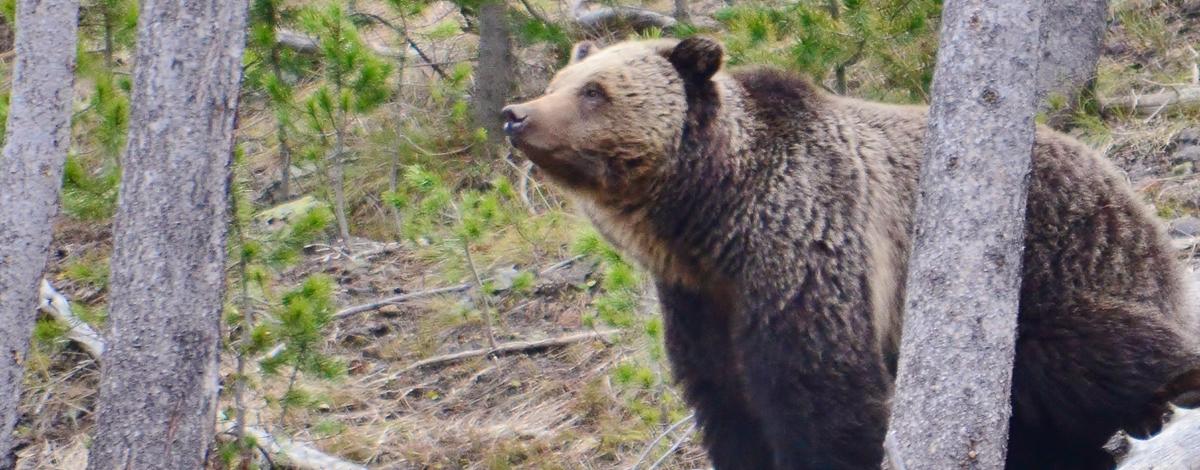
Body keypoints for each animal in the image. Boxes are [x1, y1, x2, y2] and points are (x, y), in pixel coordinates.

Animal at [502, 37, 1200, 469]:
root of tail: (1129, 195)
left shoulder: (807, 245)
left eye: (595, 90)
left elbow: (821, 390)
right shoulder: (698, 301)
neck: (710, 220)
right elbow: (726, 401)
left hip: (1064, 268)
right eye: (560, 79)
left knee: (1096, 351)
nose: (516, 113)